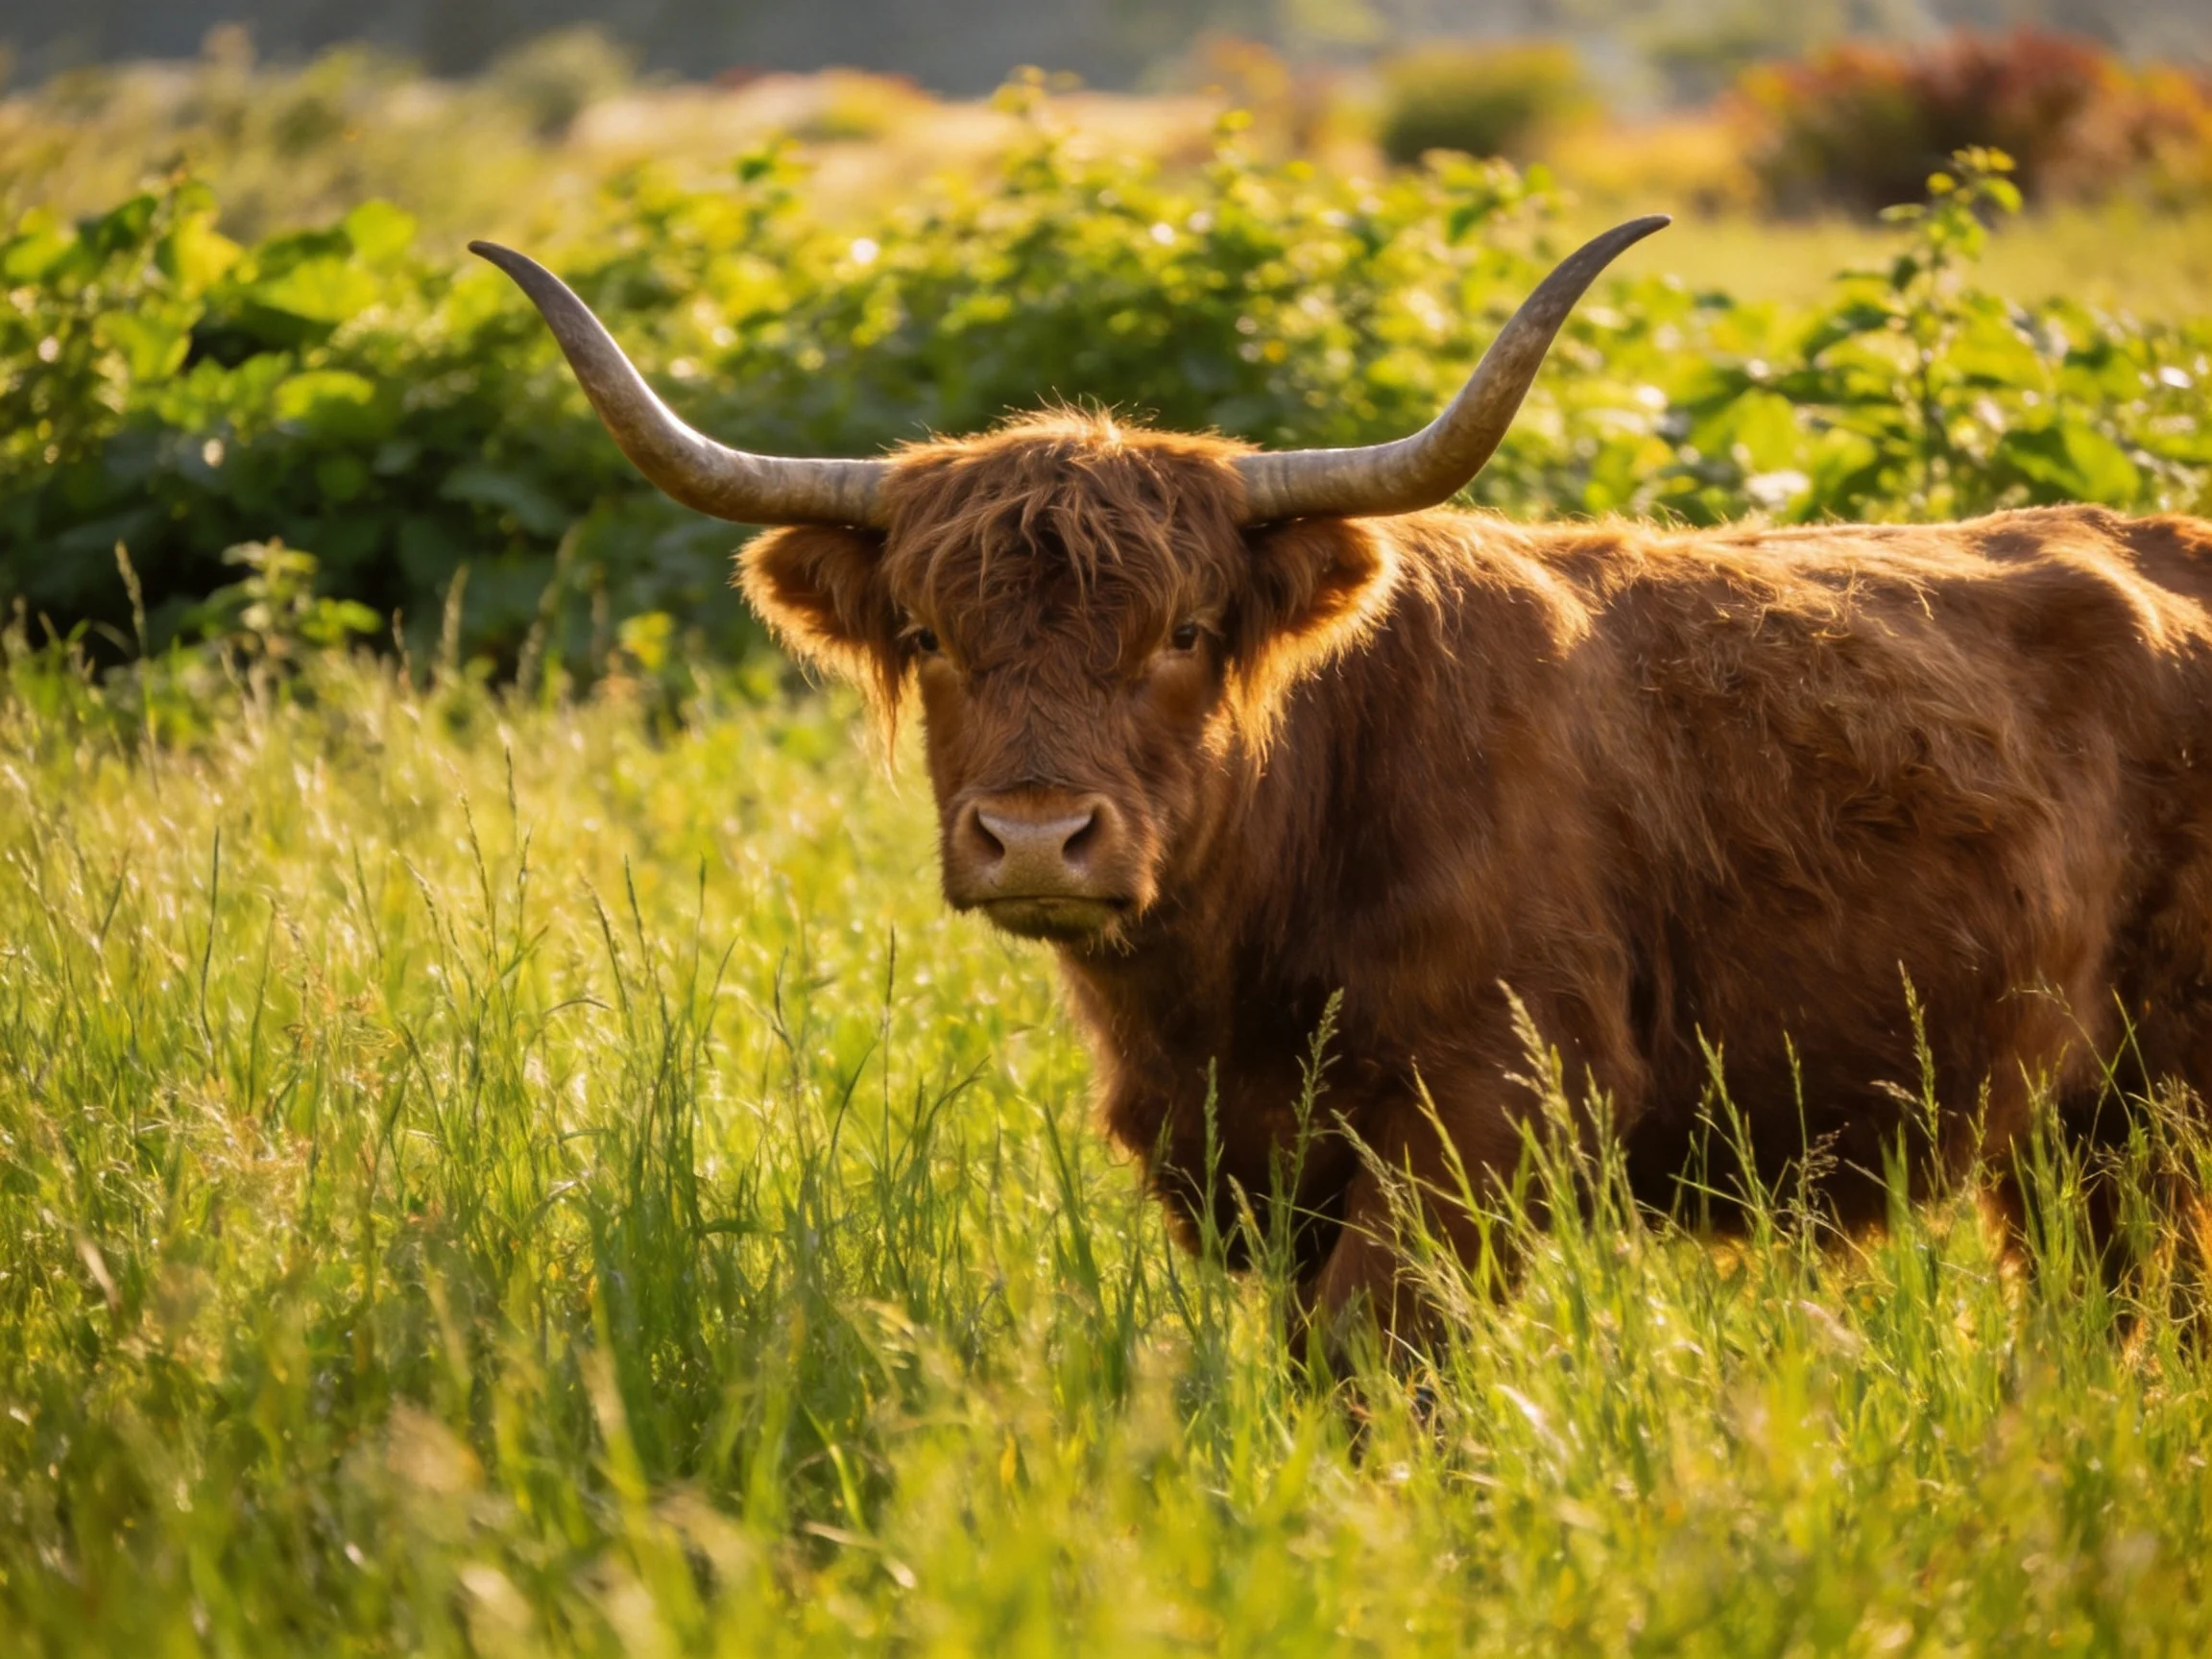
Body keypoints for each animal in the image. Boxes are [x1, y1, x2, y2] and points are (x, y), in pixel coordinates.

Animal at [473, 220, 2212, 1338]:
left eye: (1183, 630)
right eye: (927, 633)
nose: (1035, 836)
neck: (1224, 983)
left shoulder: (1486, 1115)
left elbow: (1385, 1359)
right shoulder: (1232, 1162)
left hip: (2157, 1110)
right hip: (2063, 1132)